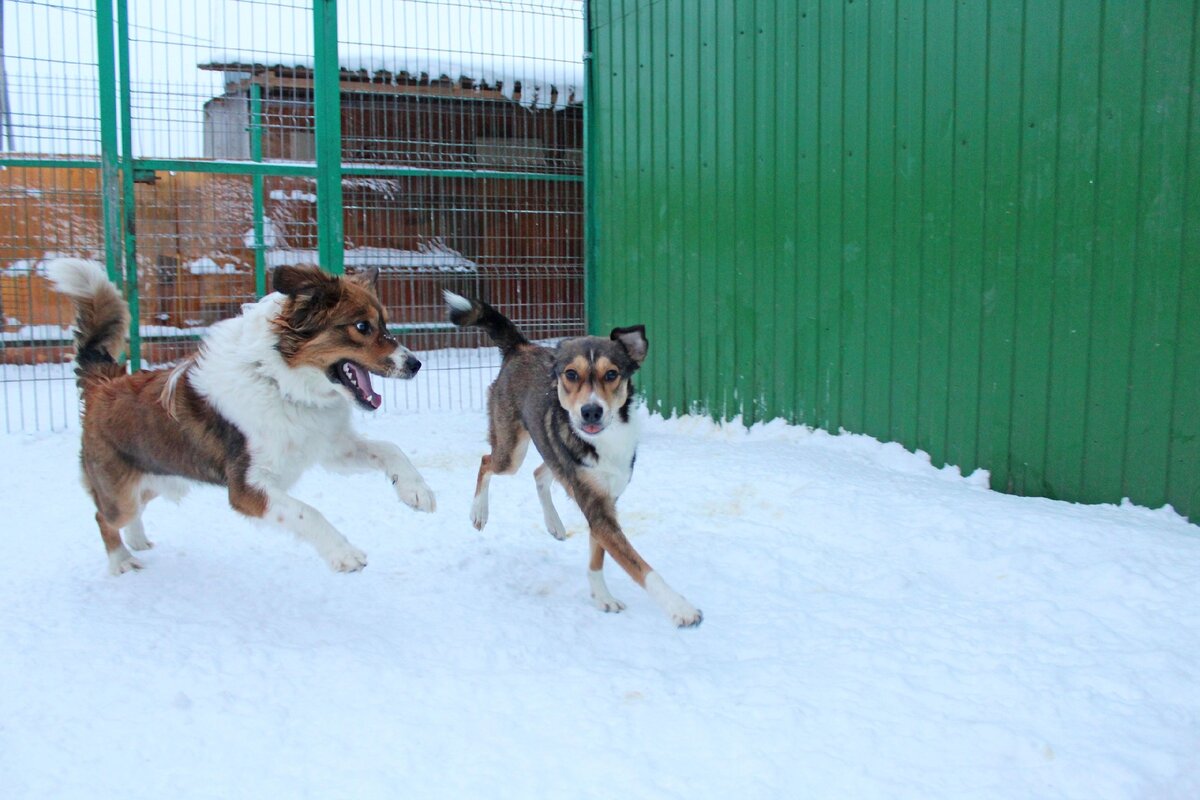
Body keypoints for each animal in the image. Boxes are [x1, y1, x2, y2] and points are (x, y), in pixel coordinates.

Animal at [51, 257, 439, 575]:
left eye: (384, 324)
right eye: (362, 327)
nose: (415, 364)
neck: (279, 380)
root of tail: (104, 382)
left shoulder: (330, 448)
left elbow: (389, 449)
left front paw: (416, 490)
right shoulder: (247, 488)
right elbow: (307, 512)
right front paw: (343, 553)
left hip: (158, 477)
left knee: (131, 511)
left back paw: (137, 540)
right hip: (121, 493)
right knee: (104, 516)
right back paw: (120, 560)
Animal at [446, 291, 700, 628]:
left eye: (611, 374)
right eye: (571, 374)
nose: (590, 411)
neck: (606, 440)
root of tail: (521, 346)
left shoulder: (606, 502)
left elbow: (597, 557)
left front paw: (602, 597)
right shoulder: (596, 506)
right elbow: (639, 566)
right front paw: (679, 607)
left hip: (553, 453)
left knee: (540, 472)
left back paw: (553, 523)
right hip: (511, 452)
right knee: (487, 461)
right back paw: (479, 512)